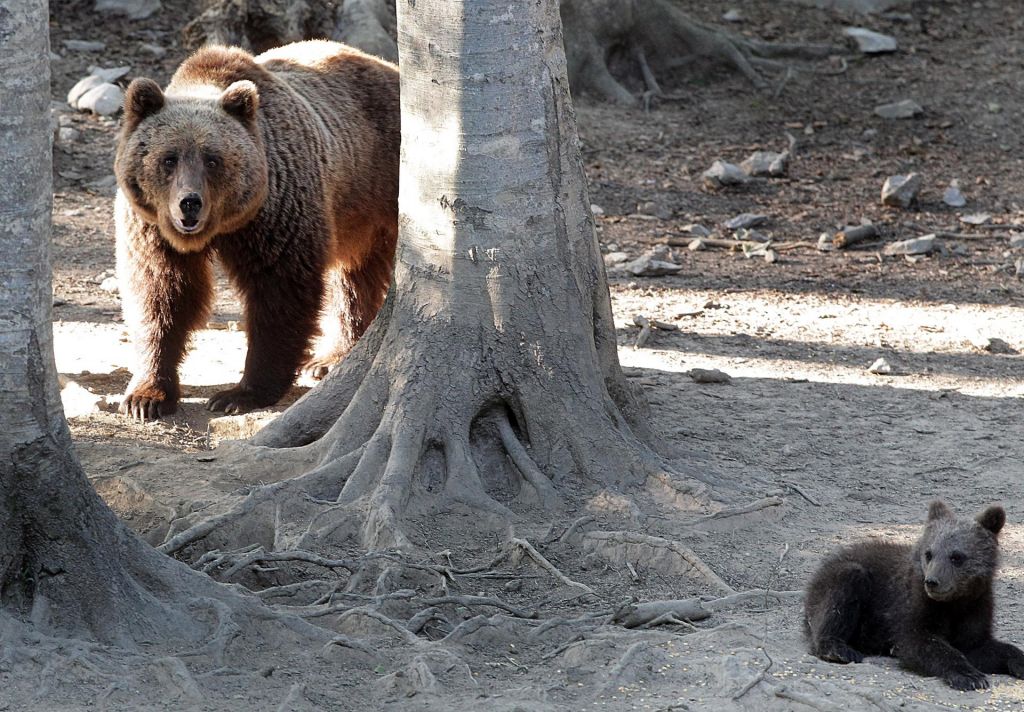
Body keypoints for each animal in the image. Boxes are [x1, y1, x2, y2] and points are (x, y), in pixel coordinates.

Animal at [114, 40, 397, 417]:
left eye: (213, 159)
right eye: (168, 158)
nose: (190, 203)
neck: (222, 226)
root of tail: (388, 67)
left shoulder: (274, 214)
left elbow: (279, 293)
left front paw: (239, 394)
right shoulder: (152, 229)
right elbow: (160, 293)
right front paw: (146, 396)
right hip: (354, 214)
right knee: (354, 277)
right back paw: (332, 357)